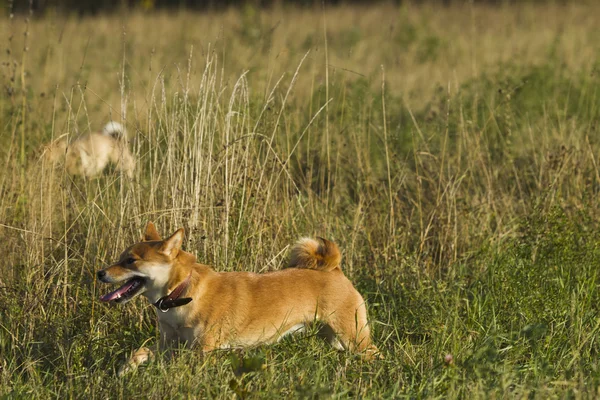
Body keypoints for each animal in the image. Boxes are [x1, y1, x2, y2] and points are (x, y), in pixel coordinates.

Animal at [97, 222, 380, 376]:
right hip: (334, 339)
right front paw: (126, 369)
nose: (100, 273)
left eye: (130, 261)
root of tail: (334, 269)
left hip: (352, 336)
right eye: (121, 257)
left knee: (373, 353)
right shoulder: (169, 344)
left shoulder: (201, 351)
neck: (182, 292)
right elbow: (141, 351)